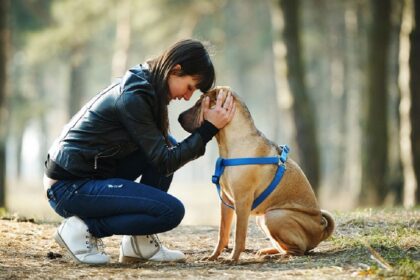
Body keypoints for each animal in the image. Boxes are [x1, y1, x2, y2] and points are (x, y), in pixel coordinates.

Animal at [178, 87, 334, 262]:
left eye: (200, 103)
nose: (178, 118)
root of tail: (321, 229)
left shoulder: (242, 200)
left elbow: (239, 234)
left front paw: (232, 258)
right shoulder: (226, 201)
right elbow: (222, 232)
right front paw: (213, 256)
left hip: (274, 216)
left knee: (298, 250)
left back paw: (275, 256)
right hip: (262, 218)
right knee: (285, 246)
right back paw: (266, 252)